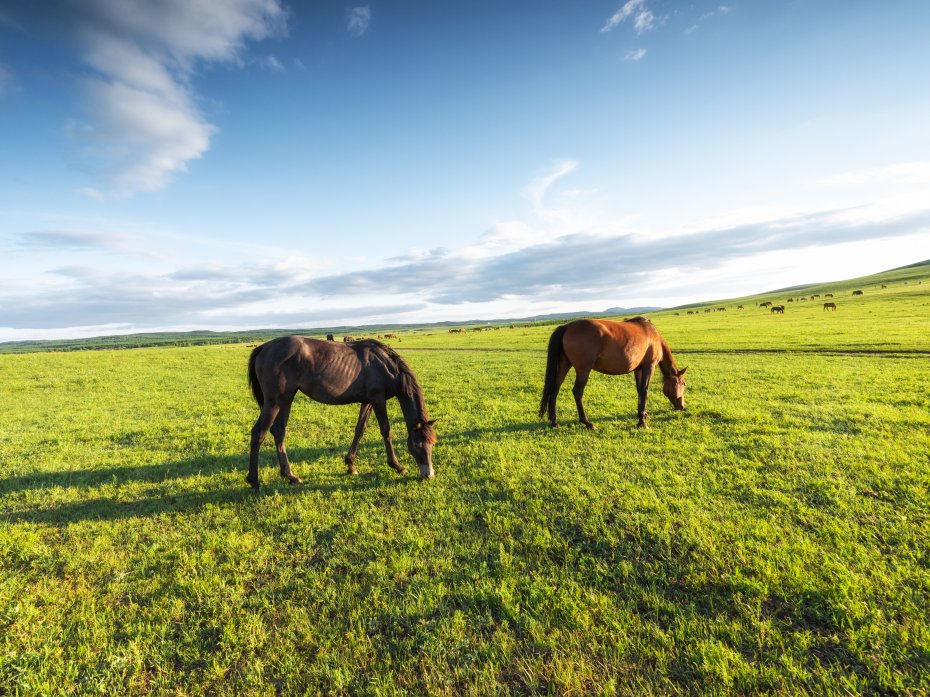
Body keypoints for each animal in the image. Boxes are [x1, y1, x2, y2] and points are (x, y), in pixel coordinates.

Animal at [246, 337, 437, 489]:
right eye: (418, 444)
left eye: (432, 443)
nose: (429, 474)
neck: (384, 364)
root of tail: (264, 347)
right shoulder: (378, 399)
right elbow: (386, 430)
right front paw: (397, 466)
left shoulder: (367, 401)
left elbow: (360, 430)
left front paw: (350, 465)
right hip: (274, 402)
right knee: (259, 433)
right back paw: (254, 480)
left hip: (286, 399)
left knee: (279, 431)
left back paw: (290, 476)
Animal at [539, 317, 687, 430]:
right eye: (683, 384)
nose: (682, 406)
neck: (653, 335)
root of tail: (567, 326)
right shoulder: (649, 367)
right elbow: (645, 391)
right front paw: (642, 422)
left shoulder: (638, 369)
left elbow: (639, 391)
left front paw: (643, 415)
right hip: (583, 369)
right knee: (577, 392)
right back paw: (587, 423)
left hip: (564, 365)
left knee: (554, 389)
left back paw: (554, 421)